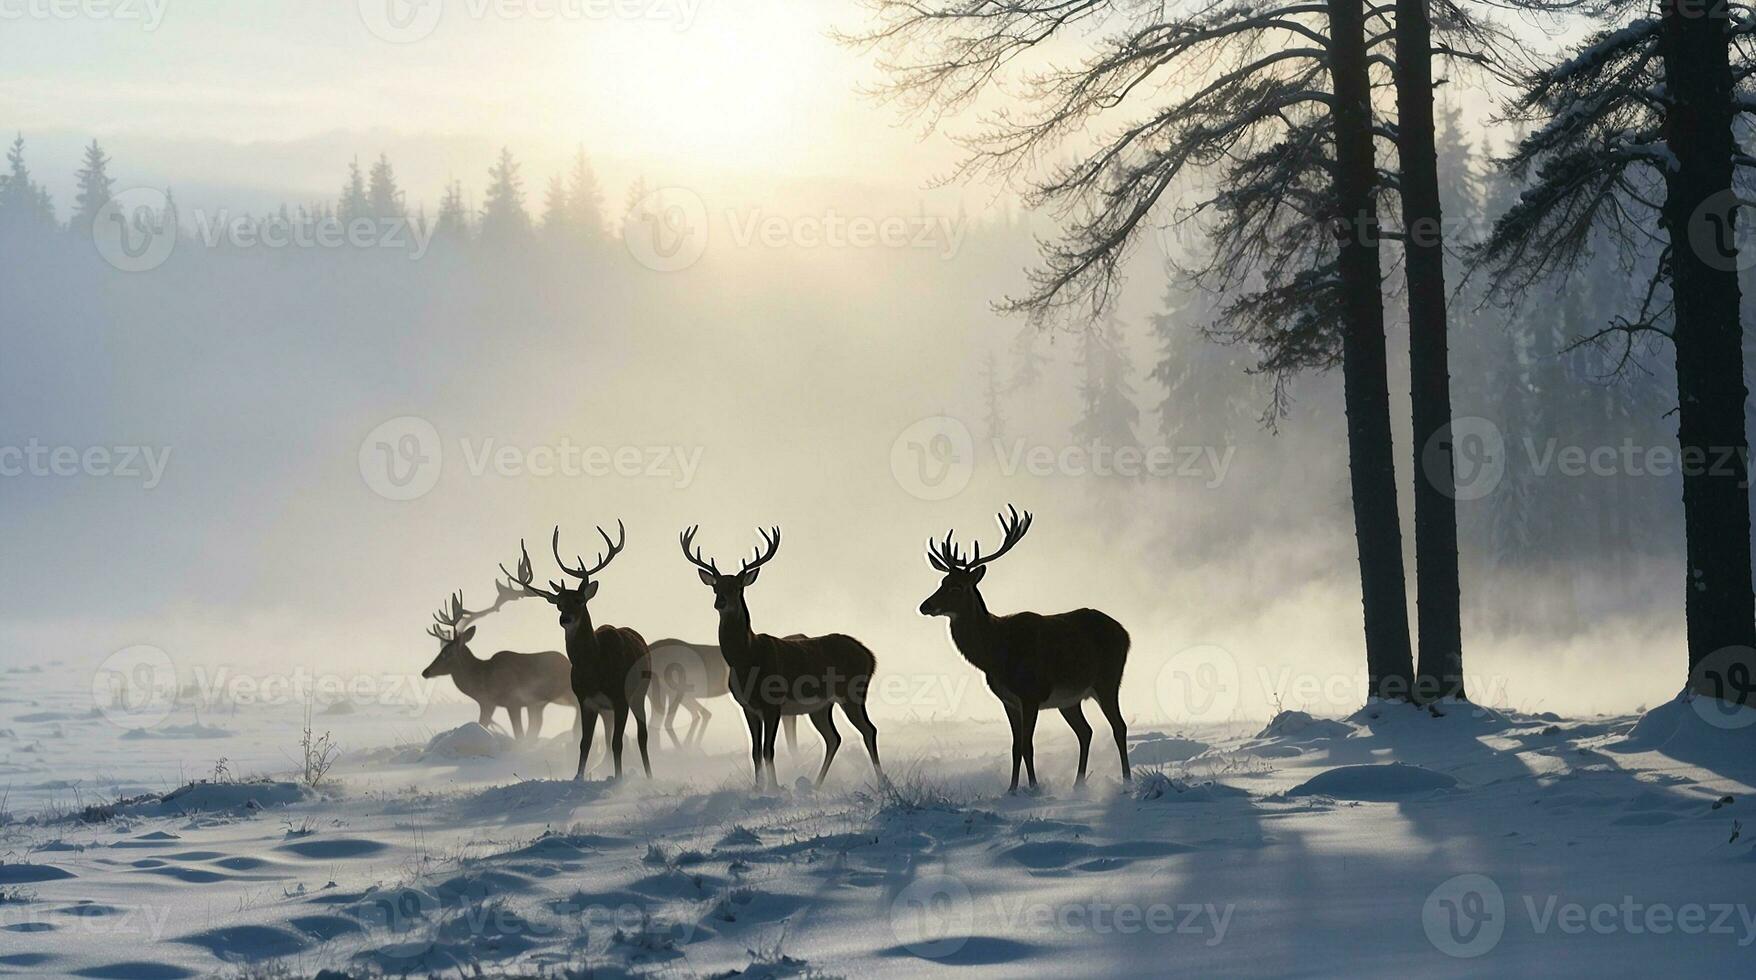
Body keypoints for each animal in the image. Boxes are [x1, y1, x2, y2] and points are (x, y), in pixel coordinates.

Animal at [421, 579, 579, 741]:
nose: (426, 672)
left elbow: (518, 733)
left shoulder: (512, 701)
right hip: (539, 704)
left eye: (447, 652)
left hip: (563, 693)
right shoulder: (488, 704)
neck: (483, 679)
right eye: (441, 649)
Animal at [502, 523, 653, 783]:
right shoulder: (585, 700)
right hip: (607, 708)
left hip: (640, 691)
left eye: (579, 600)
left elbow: (618, 742)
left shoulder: (620, 697)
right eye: (559, 604)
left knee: (642, 736)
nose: (565, 619)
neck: (595, 667)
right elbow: (585, 742)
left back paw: (649, 774)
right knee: (611, 735)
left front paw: (620, 778)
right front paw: (578, 777)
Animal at [677, 526, 885, 793]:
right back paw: (816, 784)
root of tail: (870, 655)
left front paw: (774, 788)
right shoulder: (747, 706)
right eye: (716, 587)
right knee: (833, 737)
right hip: (821, 705)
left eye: (738, 587)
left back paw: (882, 781)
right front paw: (757, 789)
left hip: (852, 691)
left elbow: (769, 749)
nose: (720, 602)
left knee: (869, 730)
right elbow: (755, 751)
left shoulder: (773, 702)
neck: (746, 659)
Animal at [920, 509, 1137, 793]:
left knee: (1118, 727)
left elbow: (1027, 745)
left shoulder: (1031, 694)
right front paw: (1011, 790)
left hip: (1108, 680)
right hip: (1070, 699)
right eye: (942, 580)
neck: (995, 654)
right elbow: (1015, 747)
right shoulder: (1008, 700)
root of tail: (1125, 633)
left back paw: (1127, 780)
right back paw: (1078, 783)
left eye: (957, 586)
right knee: (1085, 731)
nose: (924, 606)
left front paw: (1034, 787)